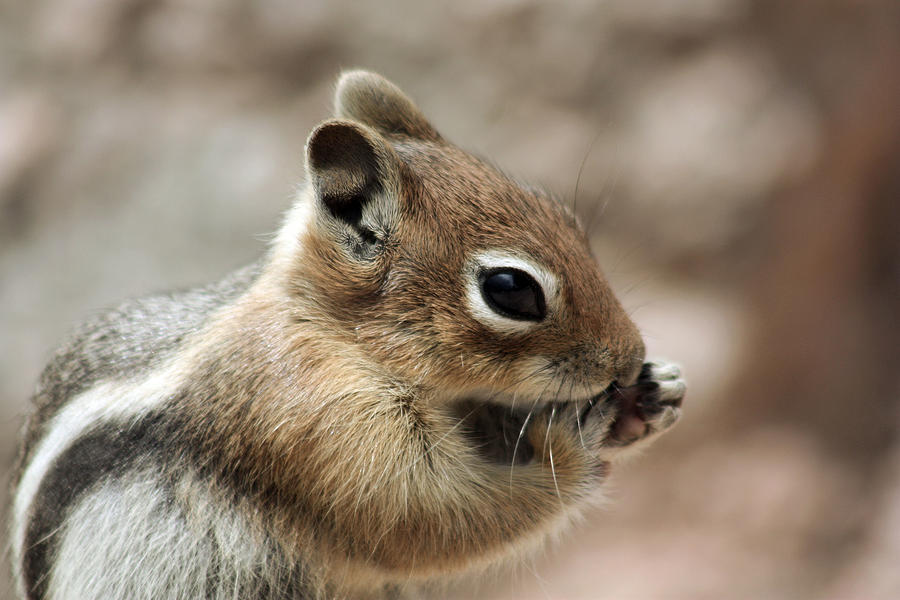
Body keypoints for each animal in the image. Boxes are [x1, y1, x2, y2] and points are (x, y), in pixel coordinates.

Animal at [8, 71, 684, 600]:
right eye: (510, 289)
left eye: (566, 218)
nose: (630, 359)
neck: (333, 331)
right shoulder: (313, 426)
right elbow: (431, 519)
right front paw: (572, 445)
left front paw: (650, 398)